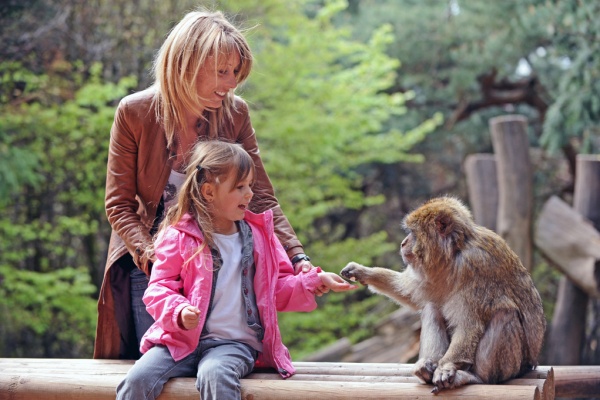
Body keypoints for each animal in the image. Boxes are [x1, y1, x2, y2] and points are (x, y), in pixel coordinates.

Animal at [342, 195, 544, 392]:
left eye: (413, 233)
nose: (403, 243)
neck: (454, 251)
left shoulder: (476, 265)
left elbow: (470, 324)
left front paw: (446, 366)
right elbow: (411, 292)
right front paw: (363, 272)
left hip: (515, 366)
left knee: (505, 315)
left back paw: (475, 377)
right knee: (431, 308)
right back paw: (427, 367)